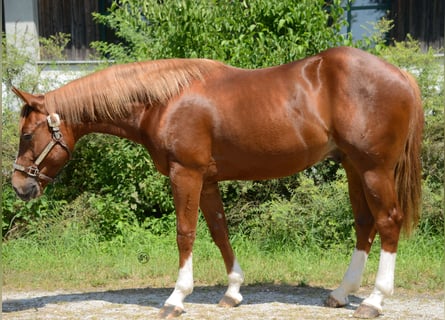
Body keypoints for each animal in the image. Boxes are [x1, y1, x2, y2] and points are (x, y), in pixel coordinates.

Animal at [11, 46, 420, 318]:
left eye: (28, 135)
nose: (18, 185)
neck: (163, 102)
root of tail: (402, 75)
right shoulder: (206, 180)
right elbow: (220, 231)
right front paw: (233, 291)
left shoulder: (185, 174)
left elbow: (185, 233)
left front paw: (177, 298)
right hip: (353, 167)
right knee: (365, 224)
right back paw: (341, 293)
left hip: (374, 169)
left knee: (388, 222)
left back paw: (374, 300)